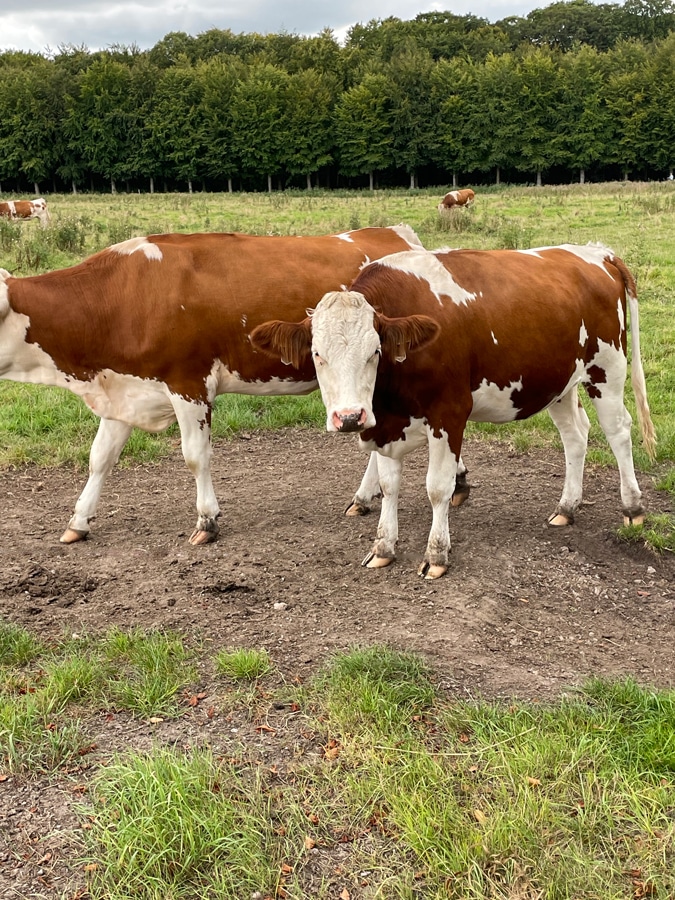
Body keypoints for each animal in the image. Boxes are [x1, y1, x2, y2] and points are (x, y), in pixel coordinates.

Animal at [0, 225, 423, 545]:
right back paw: (364, 497)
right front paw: (79, 521)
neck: (124, 297)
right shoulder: (124, 389)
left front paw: (207, 520)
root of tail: (392, 232)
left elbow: (195, 456)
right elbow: (100, 457)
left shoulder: (189, 384)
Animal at [250, 244, 656, 579]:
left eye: (374, 352)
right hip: (558, 382)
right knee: (575, 435)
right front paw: (383, 547)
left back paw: (632, 507)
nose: (349, 417)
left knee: (619, 431)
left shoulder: (449, 414)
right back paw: (567, 506)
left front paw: (436, 554)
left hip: (607, 368)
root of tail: (596, 252)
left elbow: (437, 488)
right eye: (317, 354)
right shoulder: (383, 426)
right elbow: (389, 485)